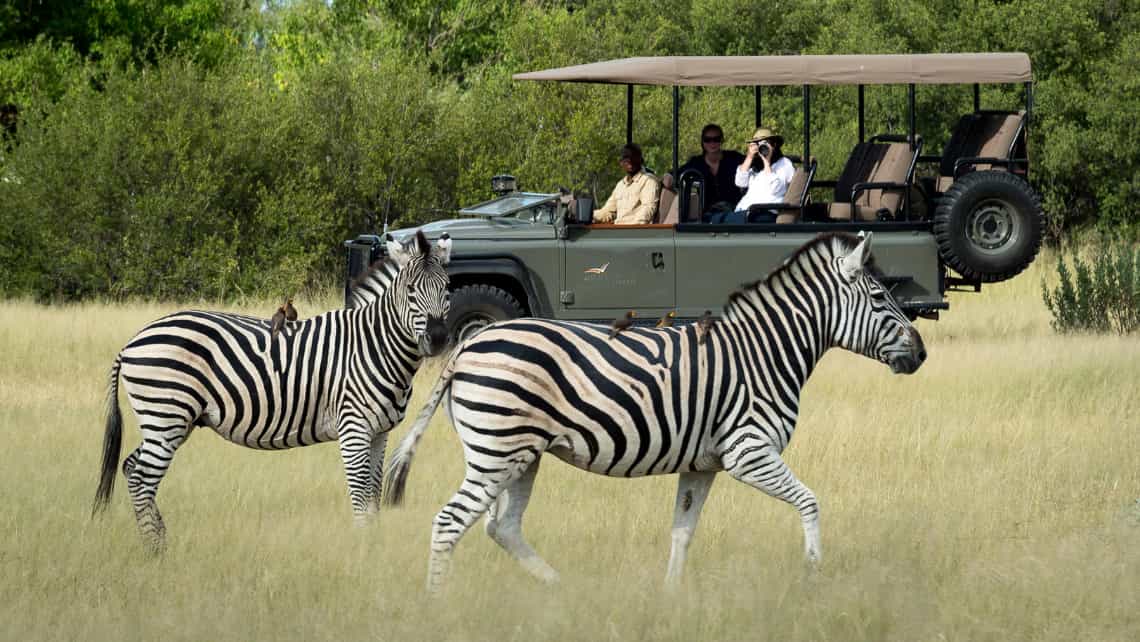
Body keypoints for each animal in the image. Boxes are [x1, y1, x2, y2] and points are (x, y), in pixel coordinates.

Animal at [91, 228, 451, 549]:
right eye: (411, 290)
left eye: (447, 288)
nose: (437, 339)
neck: (374, 346)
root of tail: (133, 341)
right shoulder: (354, 429)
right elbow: (361, 496)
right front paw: (362, 548)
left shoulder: (380, 432)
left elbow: (374, 495)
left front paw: (373, 544)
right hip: (165, 414)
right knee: (142, 477)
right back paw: (155, 549)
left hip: (171, 421)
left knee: (131, 468)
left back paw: (161, 540)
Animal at [383, 231, 925, 592]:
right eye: (881, 297)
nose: (920, 354)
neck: (763, 353)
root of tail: (467, 345)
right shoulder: (749, 452)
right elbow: (810, 502)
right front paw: (813, 571)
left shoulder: (702, 463)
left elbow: (683, 532)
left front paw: (671, 598)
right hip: (497, 452)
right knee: (450, 523)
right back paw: (439, 604)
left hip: (519, 455)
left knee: (502, 526)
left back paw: (561, 589)